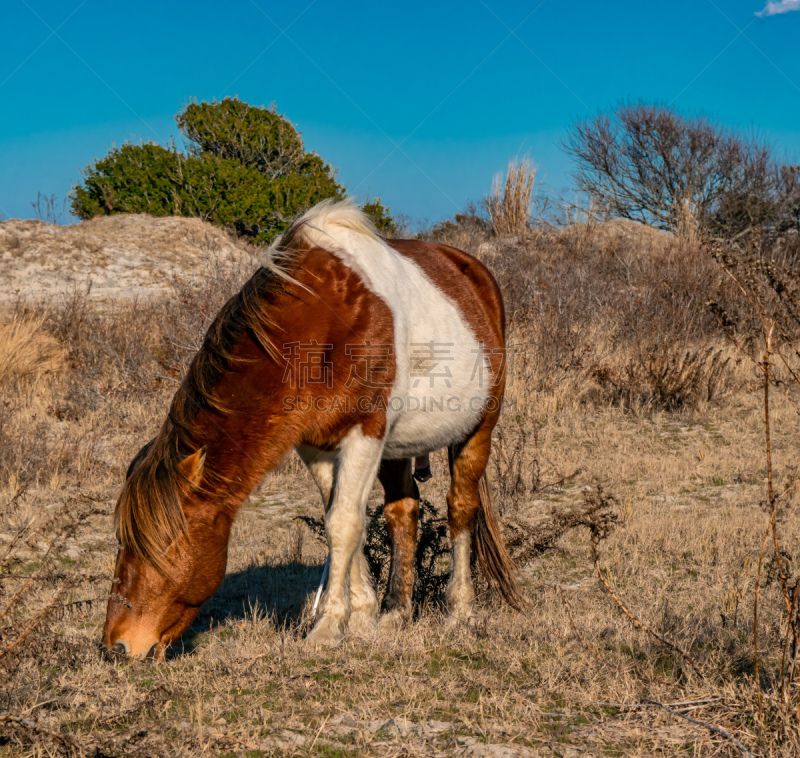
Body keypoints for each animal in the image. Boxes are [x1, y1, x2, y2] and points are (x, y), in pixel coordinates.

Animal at [103, 200, 520, 660]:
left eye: (166, 545)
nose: (117, 644)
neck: (322, 324)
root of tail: (475, 274)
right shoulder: (317, 446)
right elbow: (343, 520)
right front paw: (362, 617)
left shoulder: (364, 434)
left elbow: (343, 523)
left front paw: (329, 625)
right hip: (396, 450)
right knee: (402, 510)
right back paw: (396, 613)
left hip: (477, 429)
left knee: (461, 507)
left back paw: (459, 610)